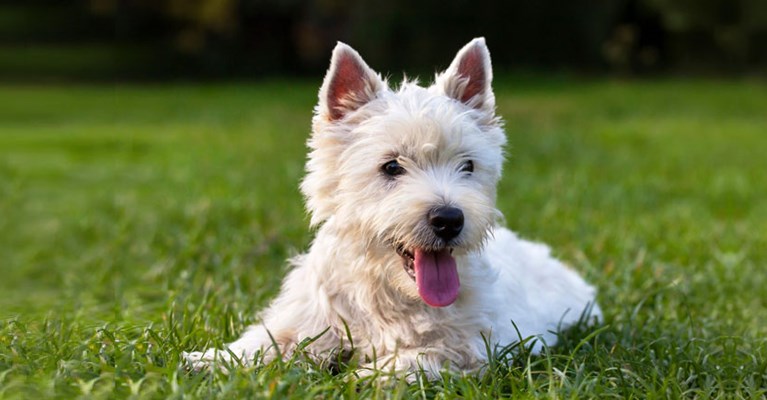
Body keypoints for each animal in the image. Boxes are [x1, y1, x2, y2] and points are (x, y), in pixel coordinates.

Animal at [184, 37, 600, 378]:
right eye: (391, 166)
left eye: (467, 165)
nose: (449, 219)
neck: (389, 291)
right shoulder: (308, 320)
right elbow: (265, 341)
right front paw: (204, 360)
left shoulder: (471, 347)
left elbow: (412, 358)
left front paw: (358, 377)